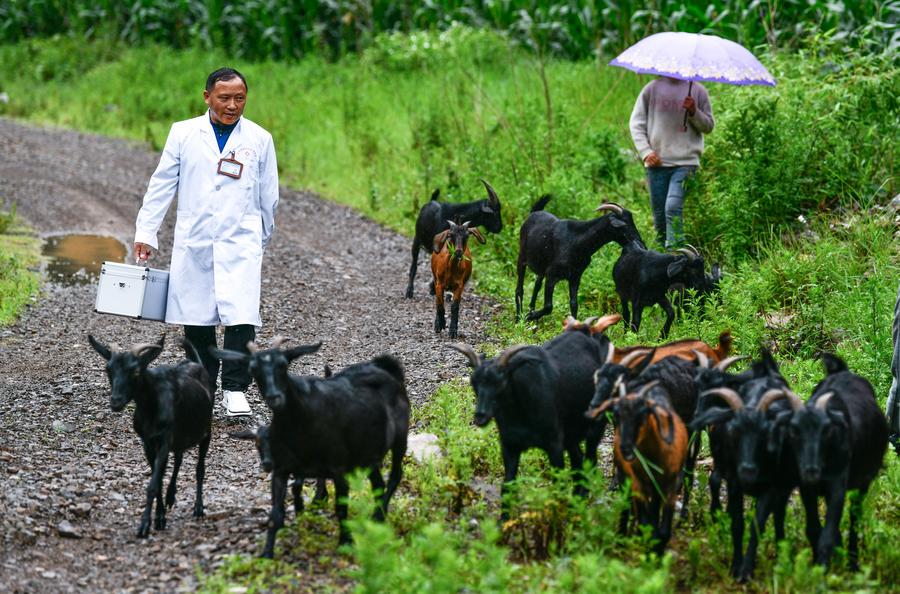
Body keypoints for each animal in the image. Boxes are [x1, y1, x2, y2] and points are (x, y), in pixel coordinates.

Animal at [89, 332, 214, 536]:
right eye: (108, 369)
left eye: (135, 371)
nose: (116, 401)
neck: (151, 406)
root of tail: (196, 363)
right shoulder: (148, 442)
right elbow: (158, 478)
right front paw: (160, 517)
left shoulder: (164, 440)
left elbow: (154, 483)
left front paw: (145, 525)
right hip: (179, 437)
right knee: (178, 459)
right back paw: (171, 496)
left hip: (205, 431)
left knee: (200, 469)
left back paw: (198, 508)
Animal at [213, 338, 406, 556]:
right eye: (253, 369)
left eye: (283, 365)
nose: (274, 397)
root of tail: (386, 368)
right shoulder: (281, 470)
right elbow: (276, 514)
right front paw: (267, 553)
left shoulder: (338, 468)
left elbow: (341, 508)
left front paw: (346, 542)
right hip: (368, 453)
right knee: (378, 484)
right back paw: (375, 518)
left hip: (400, 438)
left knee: (395, 475)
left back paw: (378, 517)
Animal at [454, 328, 608, 520]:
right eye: (473, 382)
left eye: (501, 382)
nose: (480, 416)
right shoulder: (510, 445)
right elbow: (508, 486)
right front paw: (502, 523)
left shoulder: (554, 445)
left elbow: (558, 485)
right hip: (571, 434)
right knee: (578, 461)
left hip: (596, 424)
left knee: (590, 460)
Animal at [512, 197, 648, 322]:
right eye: (625, 225)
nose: (642, 244)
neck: (577, 242)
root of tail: (533, 213)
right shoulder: (551, 276)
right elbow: (548, 306)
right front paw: (530, 316)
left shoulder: (575, 277)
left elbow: (574, 304)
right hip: (522, 258)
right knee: (519, 289)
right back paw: (519, 318)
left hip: (541, 267)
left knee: (536, 285)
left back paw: (531, 310)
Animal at [584, 382, 688, 552]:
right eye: (617, 416)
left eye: (642, 415)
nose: (625, 447)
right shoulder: (637, 483)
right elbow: (645, 522)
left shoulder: (671, 484)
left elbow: (663, 530)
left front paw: (658, 551)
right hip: (627, 477)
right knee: (628, 504)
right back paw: (623, 535)